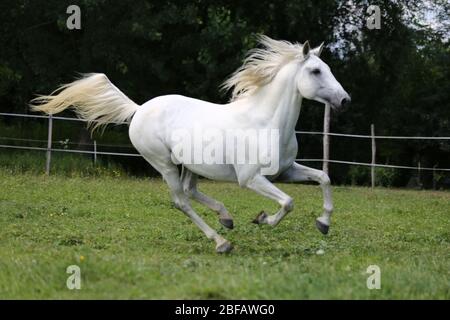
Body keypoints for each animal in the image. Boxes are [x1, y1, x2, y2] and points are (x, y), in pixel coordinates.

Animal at [30, 36, 352, 254]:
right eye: (315, 71)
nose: (344, 100)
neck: (265, 122)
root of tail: (139, 109)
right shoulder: (251, 179)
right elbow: (288, 202)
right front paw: (263, 219)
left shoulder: (285, 171)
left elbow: (324, 177)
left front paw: (323, 223)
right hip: (164, 164)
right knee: (181, 201)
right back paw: (221, 241)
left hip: (190, 165)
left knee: (190, 191)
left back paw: (226, 218)